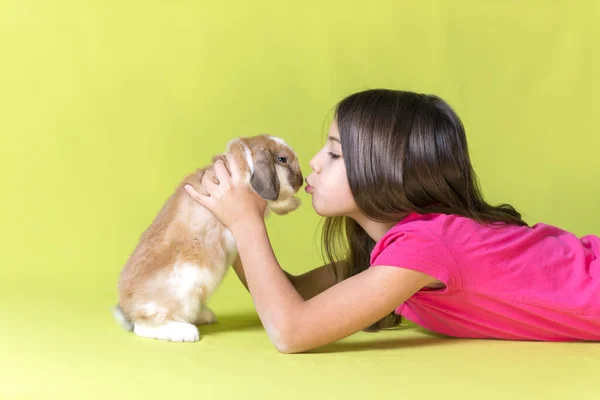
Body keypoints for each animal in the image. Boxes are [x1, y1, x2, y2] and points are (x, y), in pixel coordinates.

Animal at [113, 134, 304, 340]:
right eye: (282, 159)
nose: (302, 181)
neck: (246, 158)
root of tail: (128, 308)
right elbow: (276, 200)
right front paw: (293, 203)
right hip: (183, 288)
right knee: (145, 326)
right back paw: (185, 332)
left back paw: (205, 316)